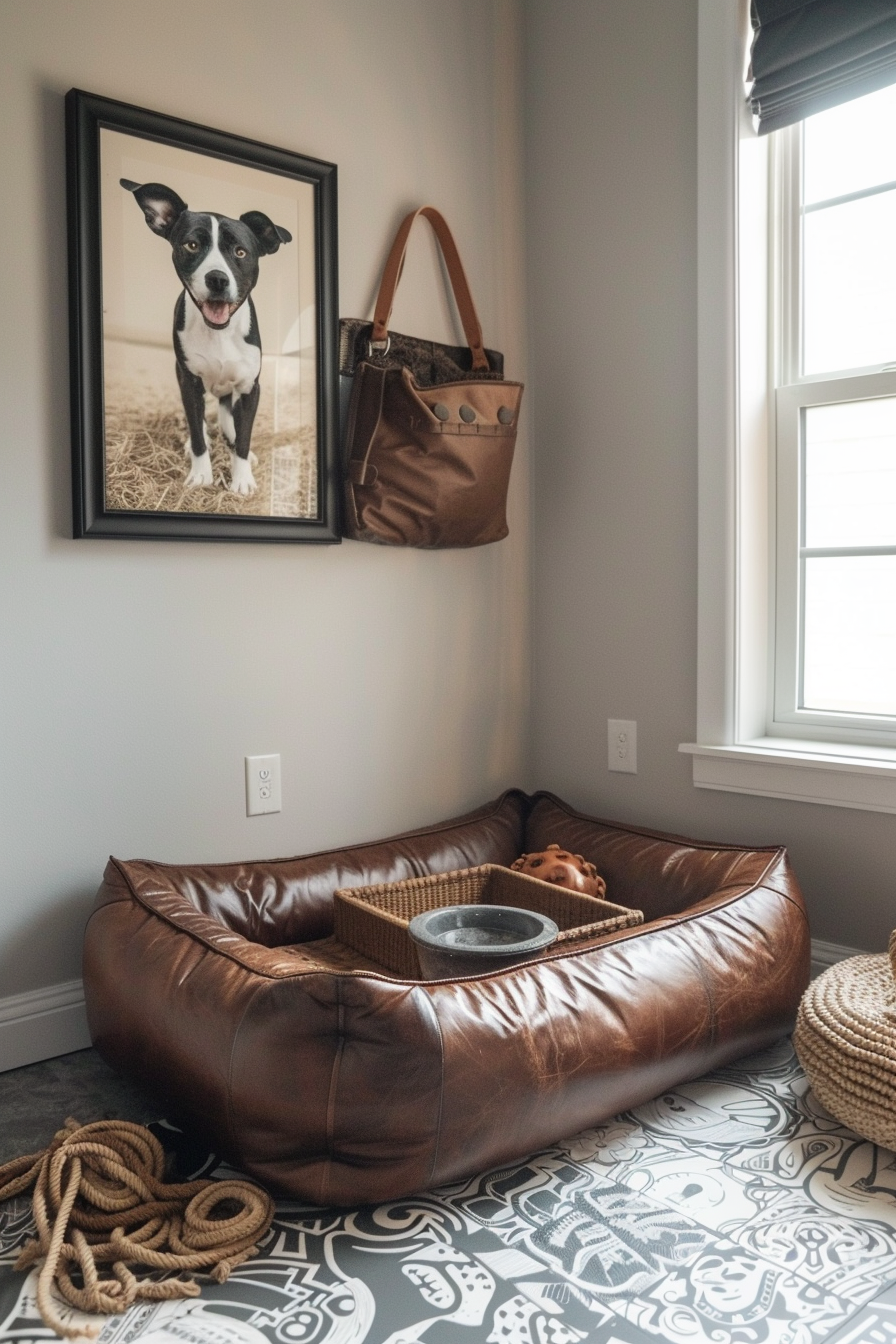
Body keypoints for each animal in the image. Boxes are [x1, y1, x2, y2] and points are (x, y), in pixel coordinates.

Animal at [118, 177, 292, 494]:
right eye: (192, 245)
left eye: (240, 252)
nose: (217, 279)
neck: (219, 333)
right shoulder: (188, 381)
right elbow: (198, 433)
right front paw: (201, 474)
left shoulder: (250, 388)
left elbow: (244, 438)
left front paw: (242, 478)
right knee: (199, 422)